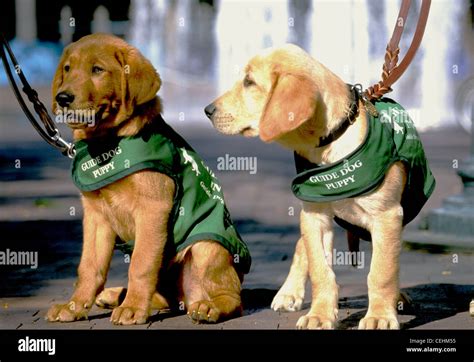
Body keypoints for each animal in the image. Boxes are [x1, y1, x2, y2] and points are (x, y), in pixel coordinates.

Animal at [45, 34, 246, 326]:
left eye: (97, 70)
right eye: (68, 69)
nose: (63, 97)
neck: (108, 142)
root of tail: (189, 299)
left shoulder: (152, 209)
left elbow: (141, 264)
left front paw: (132, 308)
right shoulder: (96, 216)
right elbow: (89, 266)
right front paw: (74, 306)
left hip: (207, 247)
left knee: (232, 298)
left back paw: (209, 308)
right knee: (165, 297)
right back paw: (115, 295)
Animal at [206, 43, 436, 330]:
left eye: (249, 82)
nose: (207, 110)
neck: (331, 144)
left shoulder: (387, 216)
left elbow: (382, 271)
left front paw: (380, 315)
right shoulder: (314, 215)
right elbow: (320, 271)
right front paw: (320, 315)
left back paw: (397, 297)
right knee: (301, 246)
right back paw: (288, 293)